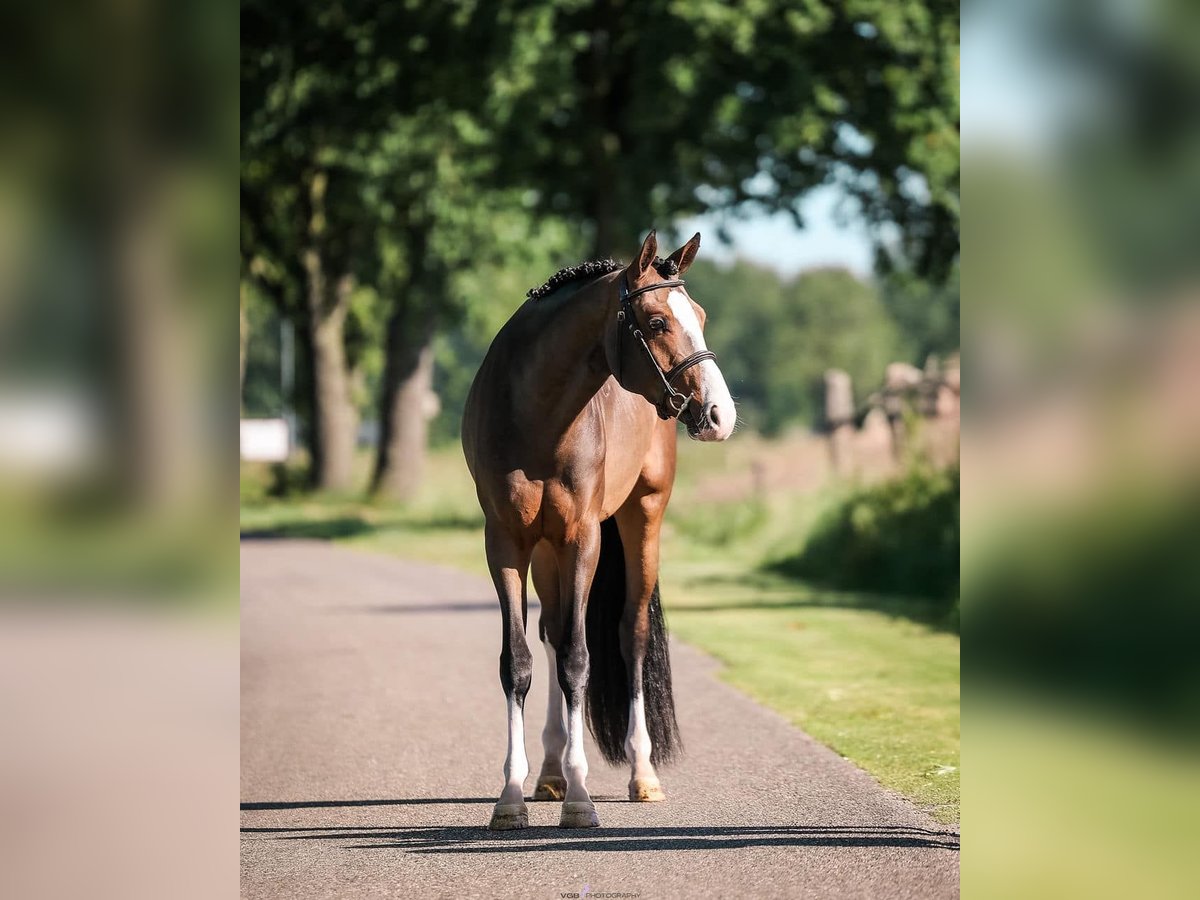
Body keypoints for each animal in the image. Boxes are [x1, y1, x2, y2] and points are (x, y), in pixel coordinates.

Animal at [463, 230, 734, 830]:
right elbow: (519, 662)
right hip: (546, 551)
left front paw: (582, 799)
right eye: (656, 321)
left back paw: (641, 773)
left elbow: (579, 660)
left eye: (702, 315)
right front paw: (511, 797)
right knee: (552, 631)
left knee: (629, 634)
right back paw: (550, 773)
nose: (719, 414)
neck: (536, 412)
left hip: (642, 516)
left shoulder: (582, 538)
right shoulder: (506, 543)